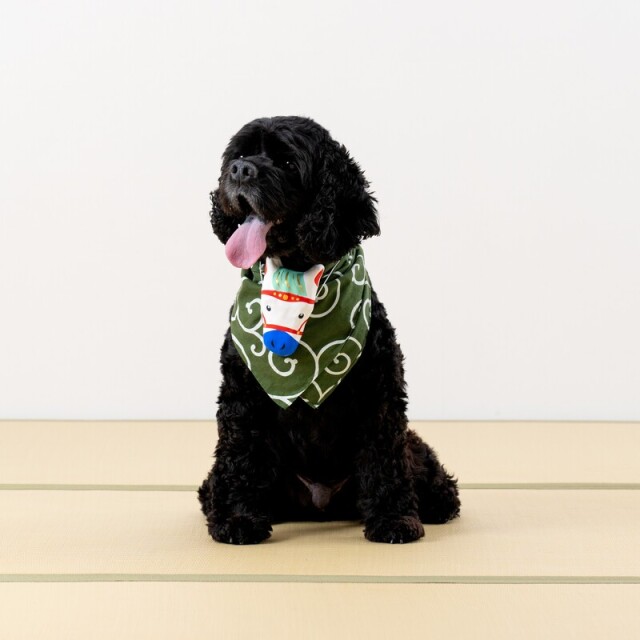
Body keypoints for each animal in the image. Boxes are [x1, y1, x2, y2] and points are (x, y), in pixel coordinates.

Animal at [198, 116, 460, 544]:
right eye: (239, 155)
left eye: (288, 163)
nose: (239, 171)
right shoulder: (243, 397)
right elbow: (241, 456)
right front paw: (237, 519)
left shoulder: (379, 397)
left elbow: (384, 458)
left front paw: (393, 518)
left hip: (415, 450)